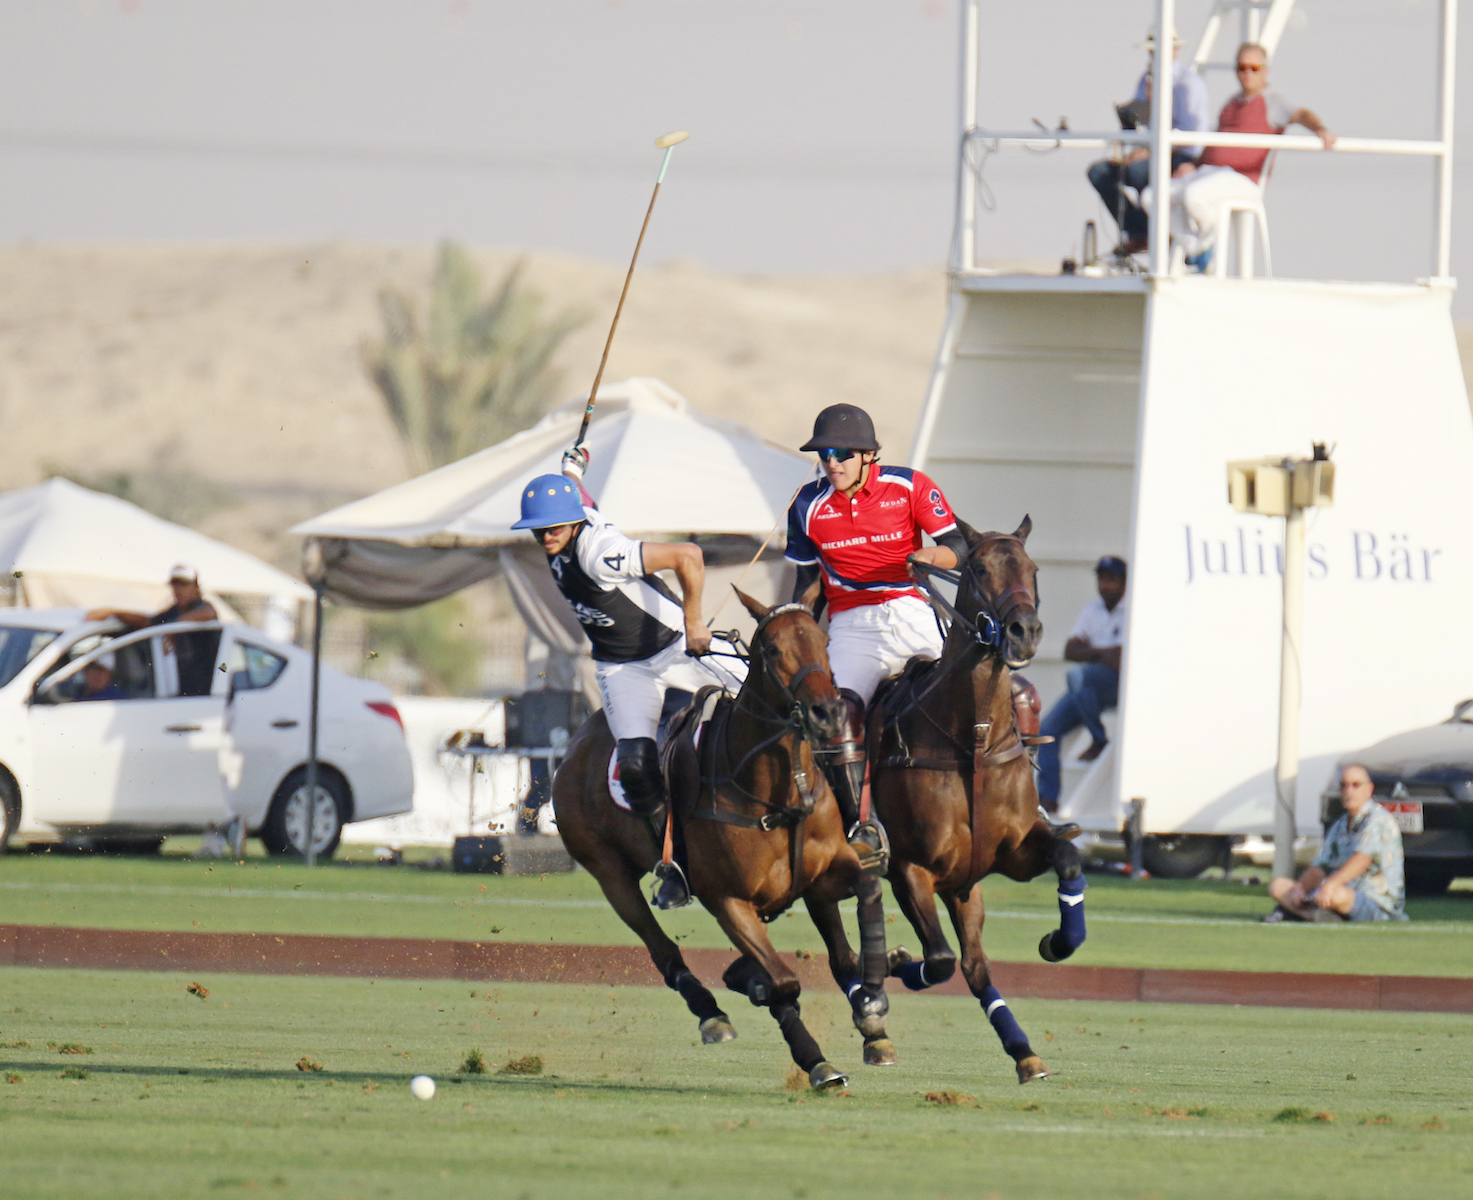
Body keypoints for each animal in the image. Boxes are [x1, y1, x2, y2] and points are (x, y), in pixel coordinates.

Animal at [553, 590, 894, 1091]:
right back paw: (711, 1011)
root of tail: (575, 742)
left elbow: (860, 909)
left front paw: (872, 1005)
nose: (828, 714)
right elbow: (784, 983)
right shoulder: (727, 900)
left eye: (824, 640)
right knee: (662, 948)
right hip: (608, 873)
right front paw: (817, 1062)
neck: (775, 789)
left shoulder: (825, 874)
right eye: (771, 649)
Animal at [867, 515, 1087, 1084]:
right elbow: (939, 959)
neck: (973, 741)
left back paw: (1024, 1050)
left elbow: (1067, 857)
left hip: (963, 887)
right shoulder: (910, 867)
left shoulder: (1004, 856)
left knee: (974, 962)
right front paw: (897, 963)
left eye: (1033, 569)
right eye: (980, 568)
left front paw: (1057, 941)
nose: (1024, 631)